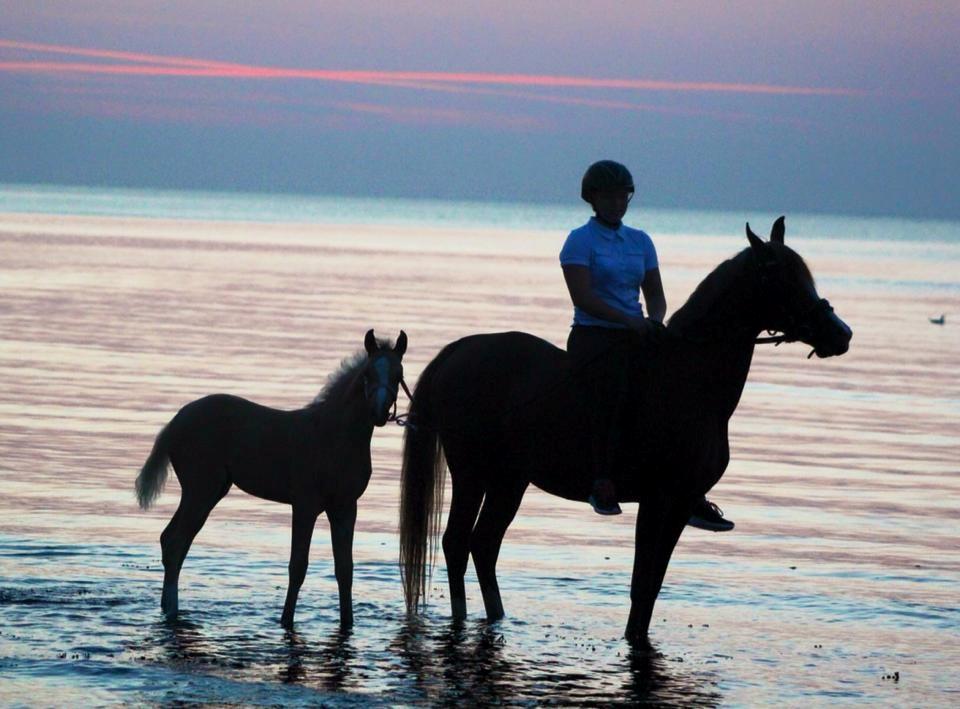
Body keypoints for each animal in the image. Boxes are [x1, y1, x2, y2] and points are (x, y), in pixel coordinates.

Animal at [135, 330, 404, 628]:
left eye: (398, 374)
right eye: (368, 374)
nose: (379, 412)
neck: (333, 436)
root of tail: (174, 422)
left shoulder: (345, 508)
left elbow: (345, 570)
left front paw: (348, 623)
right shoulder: (305, 505)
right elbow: (298, 566)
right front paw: (285, 621)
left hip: (211, 491)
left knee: (171, 540)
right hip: (200, 490)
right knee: (175, 544)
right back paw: (172, 611)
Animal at [402, 220, 852, 640]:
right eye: (781, 279)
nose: (841, 334)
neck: (690, 381)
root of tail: (459, 351)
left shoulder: (680, 503)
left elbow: (652, 587)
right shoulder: (657, 499)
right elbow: (641, 584)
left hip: (509, 479)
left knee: (484, 544)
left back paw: (498, 617)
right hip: (472, 471)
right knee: (457, 542)